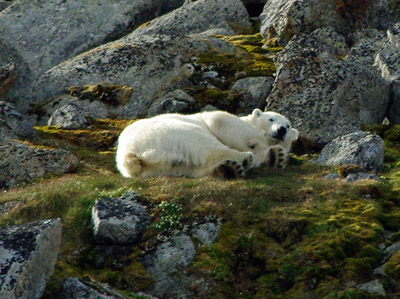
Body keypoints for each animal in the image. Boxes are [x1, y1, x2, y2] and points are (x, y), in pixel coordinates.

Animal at [114, 111, 280, 179]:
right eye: (271, 119)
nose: (282, 130)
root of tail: (129, 152)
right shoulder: (214, 119)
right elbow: (223, 122)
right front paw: (268, 152)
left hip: (158, 166)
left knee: (189, 167)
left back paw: (228, 168)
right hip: (175, 134)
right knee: (208, 145)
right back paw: (243, 159)